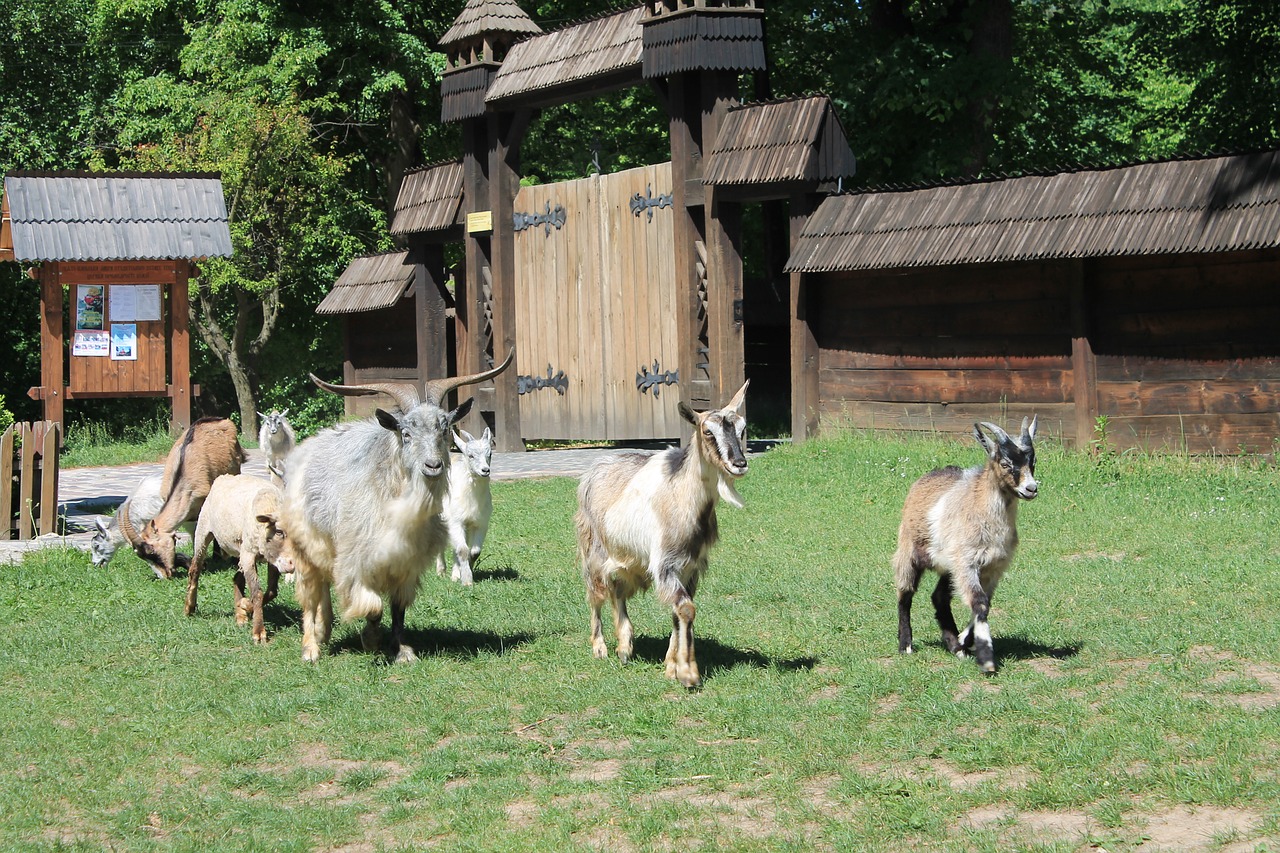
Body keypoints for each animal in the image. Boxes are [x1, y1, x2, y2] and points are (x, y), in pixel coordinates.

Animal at [127, 412, 249, 578]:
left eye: (152, 551)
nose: (165, 575)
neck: (182, 474)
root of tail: (219, 420)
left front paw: (214, 558)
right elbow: (193, 532)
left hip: (234, 470)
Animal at [435, 425, 494, 584]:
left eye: (490, 454)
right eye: (470, 455)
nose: (485, 470)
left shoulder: (480, 523)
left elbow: (473, 551)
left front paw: (465, 572)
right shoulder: (455, 521)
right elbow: (462, 550)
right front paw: (467, 580)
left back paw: (455, 574)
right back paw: (441, 571)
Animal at [576, 381, 747, 686]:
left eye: (742, 428)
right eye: (707, 431)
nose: (739, 463)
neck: (682, 498)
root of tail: (596, 467)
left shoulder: (690, 567)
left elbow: (679, 611)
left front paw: (671, 666)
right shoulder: (665, 564)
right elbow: (686, 608)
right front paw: (689, 673)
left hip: (629, 559)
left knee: (617, 590)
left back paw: (625, 647)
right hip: (593, 548)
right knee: (595, 592)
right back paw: (600, 647)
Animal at [890, 412, 1039, 671]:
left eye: (1034, 462)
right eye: (1005, 463)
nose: (1031, 488)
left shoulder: (993, 566)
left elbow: (985, 602)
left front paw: (964, 640)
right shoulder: (967, 562)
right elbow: (979, 602)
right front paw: (987, 659)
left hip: (949, 565)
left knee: (939, 597)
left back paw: (955, 646)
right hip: (909, 550)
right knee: (905, 593)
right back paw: (906, 645)